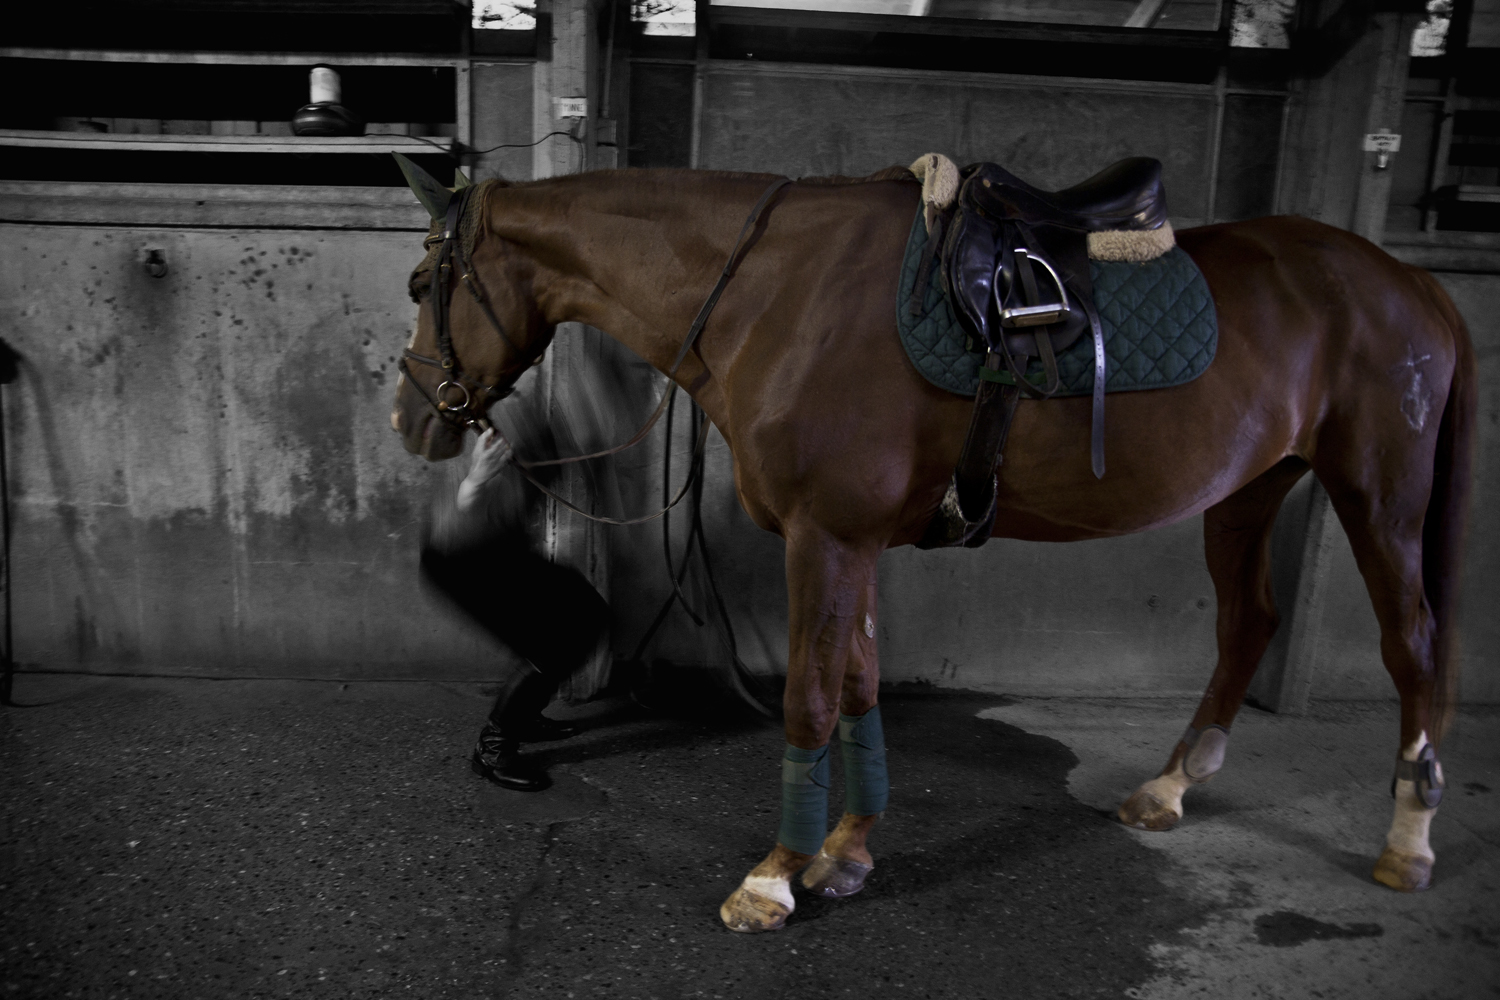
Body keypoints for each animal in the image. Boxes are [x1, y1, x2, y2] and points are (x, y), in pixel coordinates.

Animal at [387, 164, 1475, 934]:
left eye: (422, 280)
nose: (412, 416)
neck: (776, 292)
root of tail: (1410, 279)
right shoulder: (855, 542)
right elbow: (859, 690)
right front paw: (846, 855)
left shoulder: (825, 539)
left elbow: (810, 698)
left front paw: (774, 879)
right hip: (1248, 492)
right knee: (1250, 621)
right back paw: (1169, 788)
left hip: (1377, 491)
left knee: (1414, 644)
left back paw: (1411, 841)